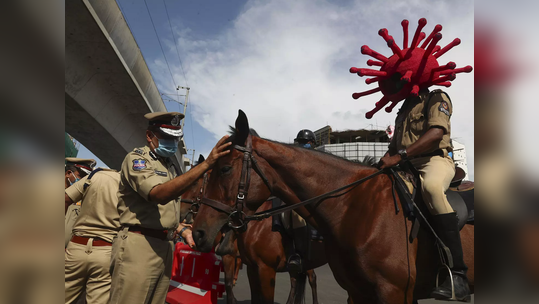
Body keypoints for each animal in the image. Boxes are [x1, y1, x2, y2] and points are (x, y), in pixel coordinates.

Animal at [181, 163, 324, 302]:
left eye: (194, 183)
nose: (182, 211)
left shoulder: (258, 266)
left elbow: (228, 284)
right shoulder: (251, 266)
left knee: (312, 279)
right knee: (296, 281)